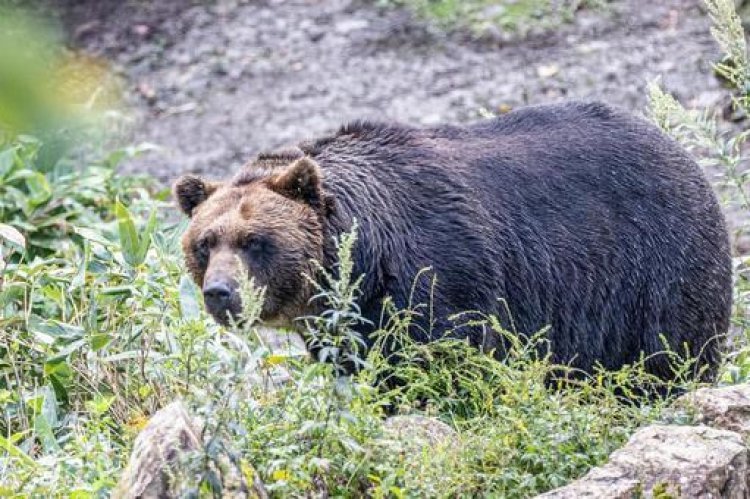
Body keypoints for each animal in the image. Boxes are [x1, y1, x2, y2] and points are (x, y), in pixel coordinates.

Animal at [175, 101, 736, 378]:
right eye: (205, 243)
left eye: (255, 240)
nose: (220, 292)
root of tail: (682, 152)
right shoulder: (346, 323)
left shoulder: (442, 272)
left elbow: (444, 357)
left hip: (651, 269)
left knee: (669, 353)